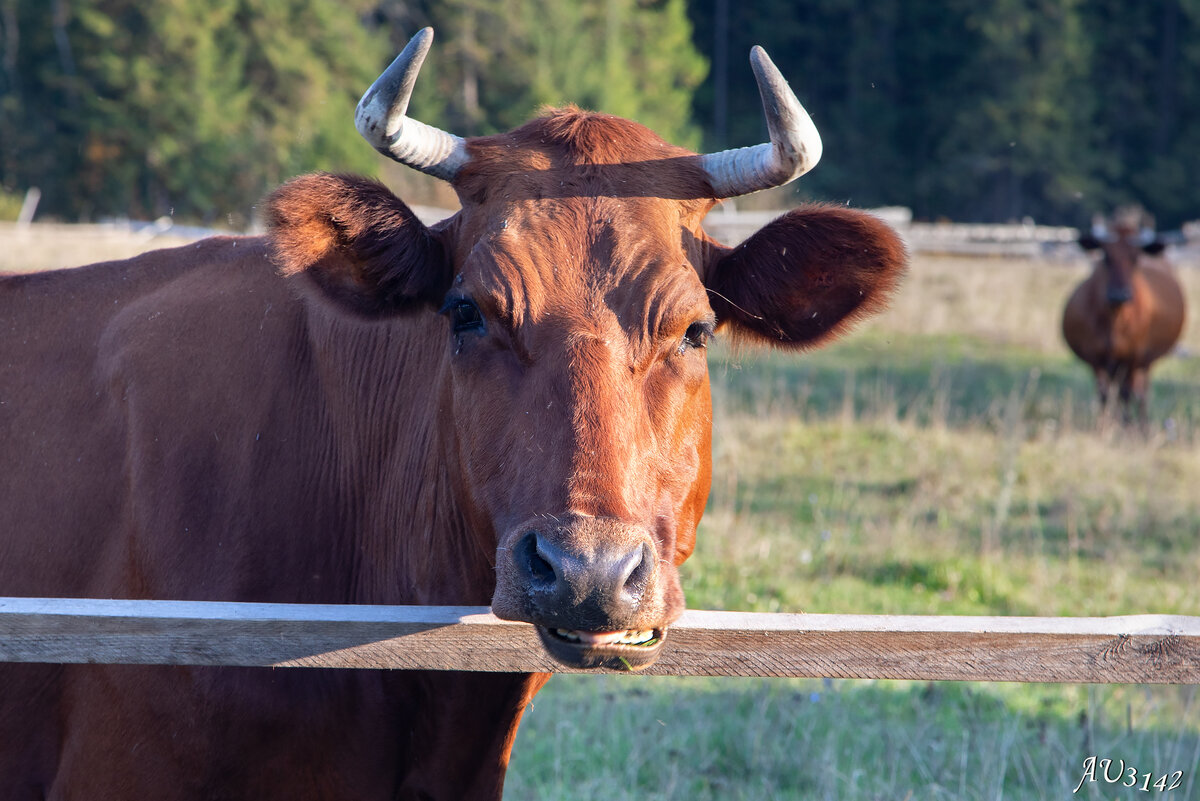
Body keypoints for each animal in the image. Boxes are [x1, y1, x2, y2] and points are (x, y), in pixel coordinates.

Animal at [1065, 219, 1185, 422]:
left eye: (1135, 258)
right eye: (1106, 256)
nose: (1119, 295)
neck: (1115, 321)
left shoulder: (1134, 356)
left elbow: (1127, 393)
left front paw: (1126, 424)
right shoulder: (1096, 358)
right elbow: (1104, 394)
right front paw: (1105, 424)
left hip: (1144, 363)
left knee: (1141, 393)